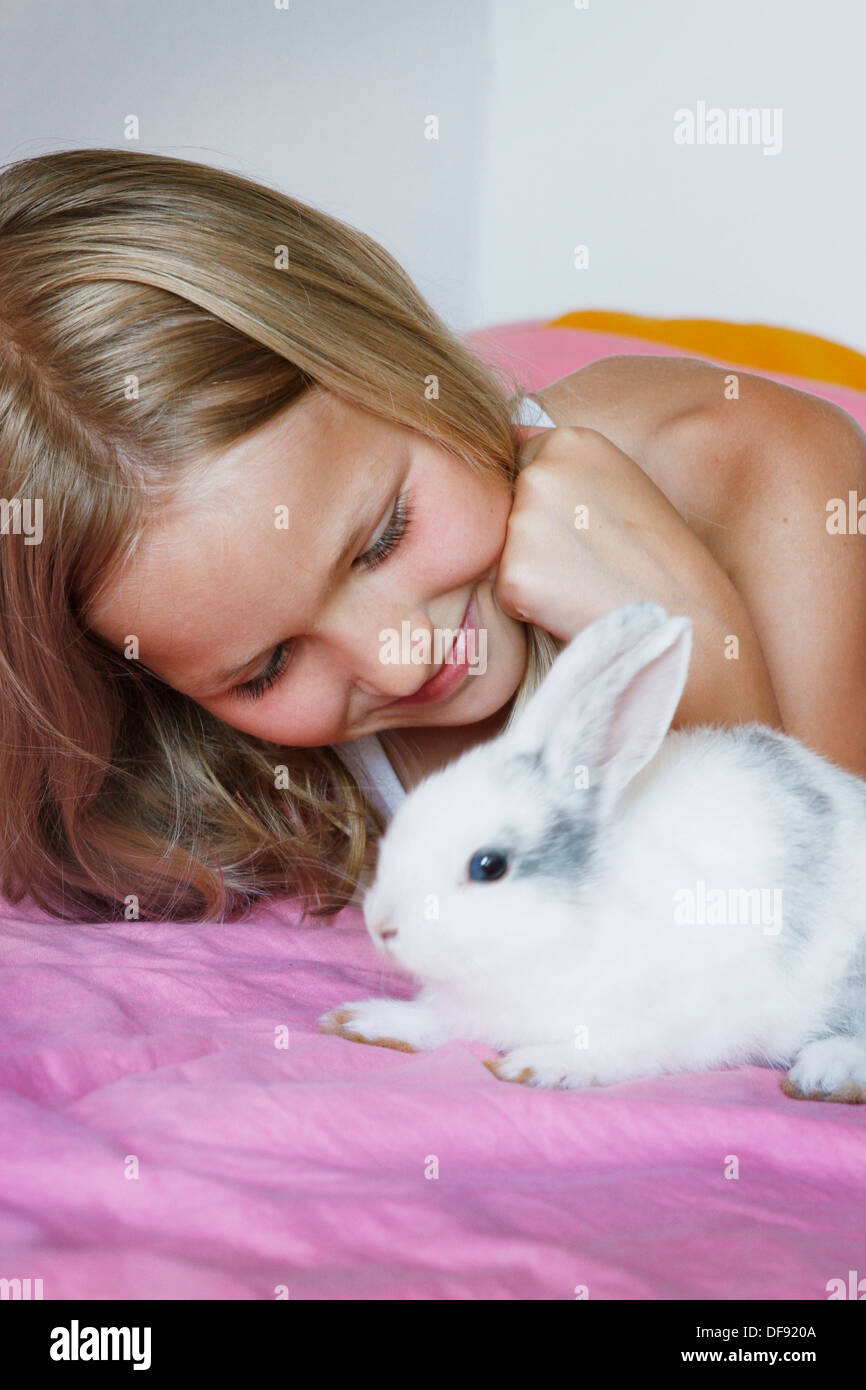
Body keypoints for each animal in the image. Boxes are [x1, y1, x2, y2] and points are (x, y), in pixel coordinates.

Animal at [319, 603, 866, 1100]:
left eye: (488, 865)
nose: (382, 926)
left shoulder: (665, 1020)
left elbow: (614, 1053)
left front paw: (540, 1065)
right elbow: (437, 1022)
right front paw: (363, 1020)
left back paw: (823, 1073)